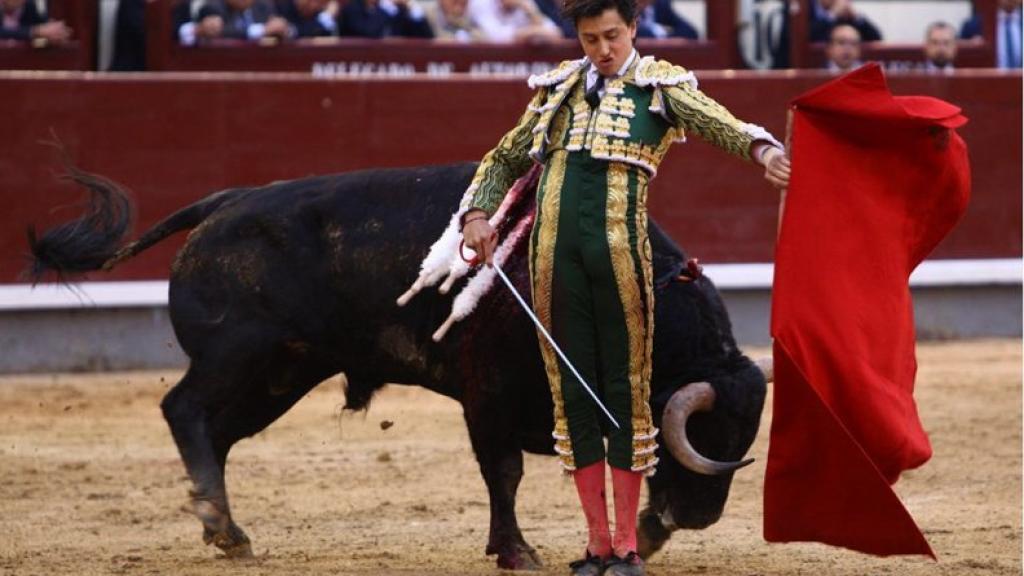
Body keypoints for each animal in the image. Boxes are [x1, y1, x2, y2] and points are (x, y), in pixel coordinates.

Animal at [28, 158, 765, 565]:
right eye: (706, 435)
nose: (700, 518)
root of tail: (224, 202)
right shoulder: (487, 392)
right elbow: (504, 473)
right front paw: (516, 551)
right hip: (237, 357)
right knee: (184, 410)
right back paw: (222, 526)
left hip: (282, 373)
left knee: (218, 433)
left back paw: (227, 530)